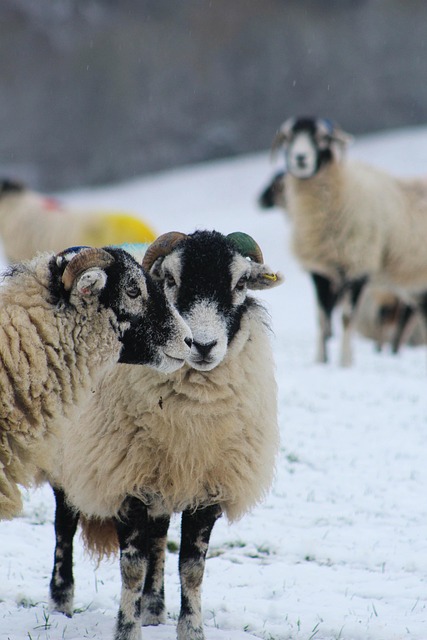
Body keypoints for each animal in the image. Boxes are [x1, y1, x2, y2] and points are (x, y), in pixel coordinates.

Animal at [48, 230, 283, 640]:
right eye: (170, 280)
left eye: (241, 283)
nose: (202, 345)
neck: (192, 414)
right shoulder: (124, 482)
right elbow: (131, 567)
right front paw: (127, 630)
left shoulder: (206, 489)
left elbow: (191, 569)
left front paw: (190, 630)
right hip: (68, 459)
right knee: (64, 524)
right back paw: (62, 602)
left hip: (161, 475)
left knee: (158, 536)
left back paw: (154, 608)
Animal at [265, 115, 427, 366]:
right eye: (289, 138)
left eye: (321, 138)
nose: (300, 158)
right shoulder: (320, 270)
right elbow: (322, 318)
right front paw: (321, 361)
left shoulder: (359, 265)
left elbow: (348, 318)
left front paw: (345, 362)